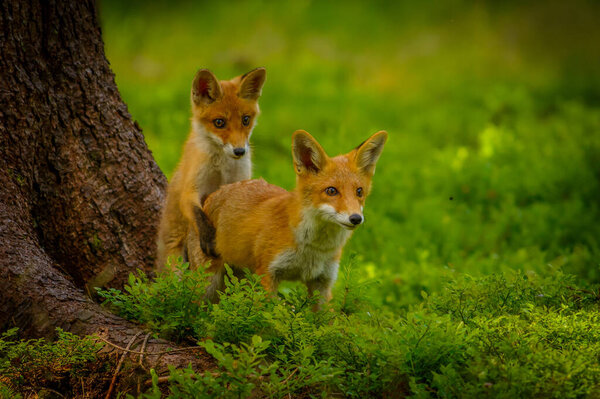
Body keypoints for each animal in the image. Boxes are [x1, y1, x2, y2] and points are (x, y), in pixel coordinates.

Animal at [156, 67, 266, 270]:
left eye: (246, 120)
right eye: (219, 122)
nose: (240, 151)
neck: (222, 168)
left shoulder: (239, 182)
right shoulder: (191, 189)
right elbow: (199, 214)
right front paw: (209, 239)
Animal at [192, 130, 390, 304]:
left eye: (359, 192)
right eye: (331, 191)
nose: (356, 218)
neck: (313, 249)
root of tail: (216, 192)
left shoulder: (323, 282)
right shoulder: (268, 274)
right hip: (207, 284)